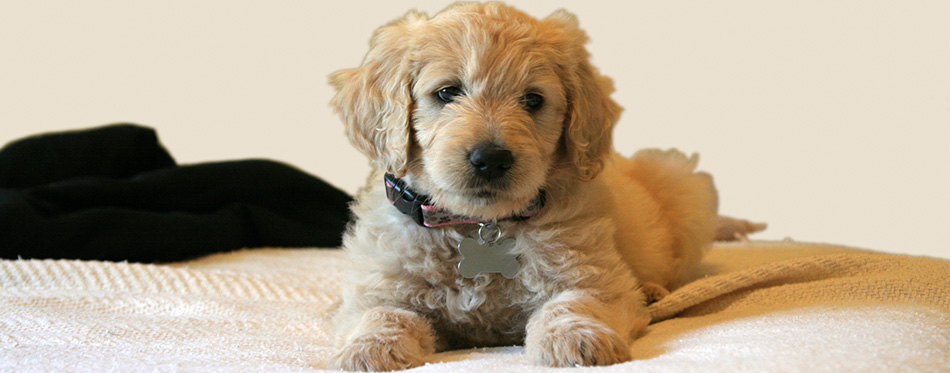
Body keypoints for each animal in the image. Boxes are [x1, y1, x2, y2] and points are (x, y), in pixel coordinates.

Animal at [330, 2, 764, 370]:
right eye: (447, 92)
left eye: (533, 100)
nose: (491, 159)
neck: (479, 225)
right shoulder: (377, 287)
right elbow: (381, 313)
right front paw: (368, 349)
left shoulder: (591, 276)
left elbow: (572, 302)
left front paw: (575, 340)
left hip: (683, 190)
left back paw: (653, 289)